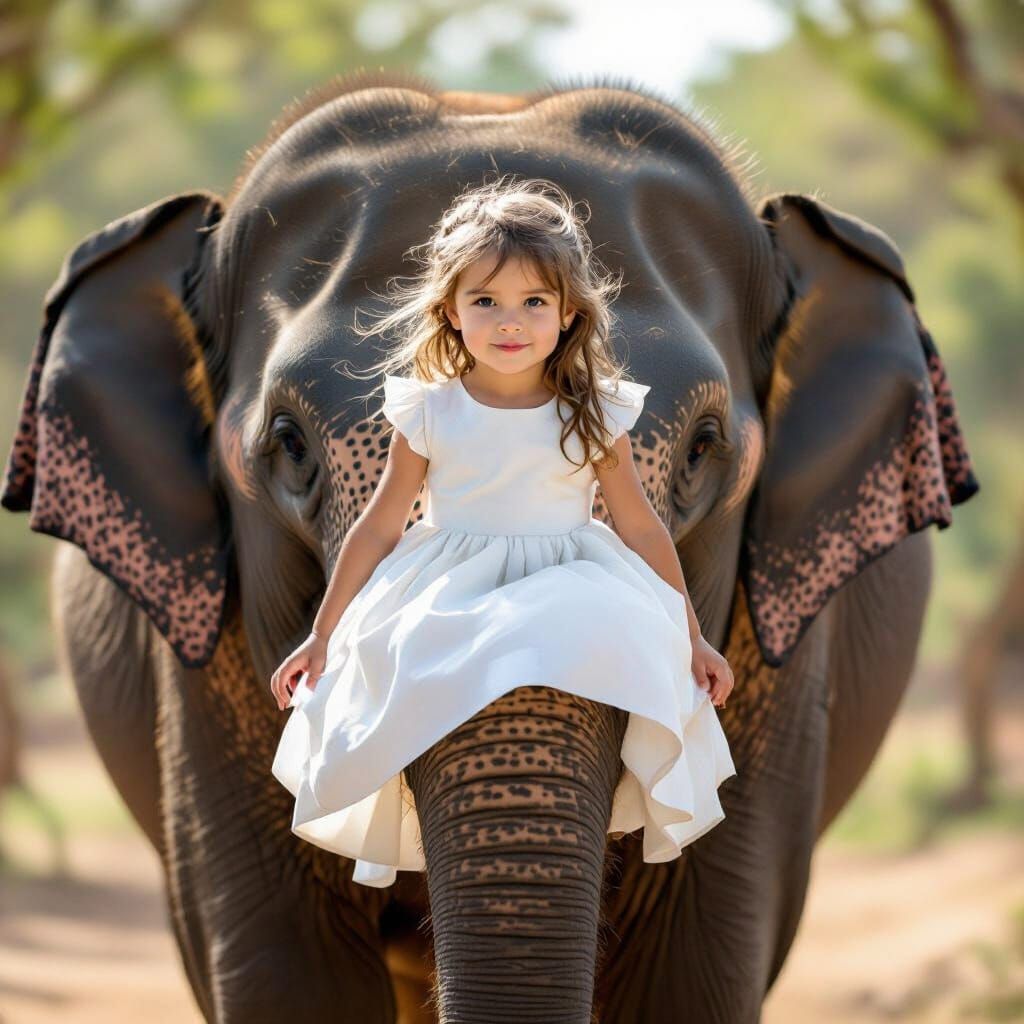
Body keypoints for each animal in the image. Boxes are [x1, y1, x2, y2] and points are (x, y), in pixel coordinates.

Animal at [2, 71, 979, 1023]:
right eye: (288, 443)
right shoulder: (205, 669)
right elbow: (291, 979)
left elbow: (689, 980)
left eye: (705, 448)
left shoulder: (776, 667)